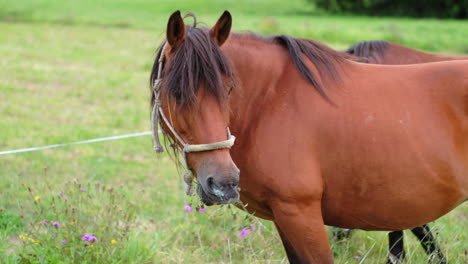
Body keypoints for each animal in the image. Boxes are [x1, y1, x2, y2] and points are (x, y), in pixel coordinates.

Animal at [150, 11, 468, 262]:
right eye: (176, 93)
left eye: (229, 89)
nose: (224, 183)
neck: (270, 102)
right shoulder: (285, 217)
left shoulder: (300, 214)